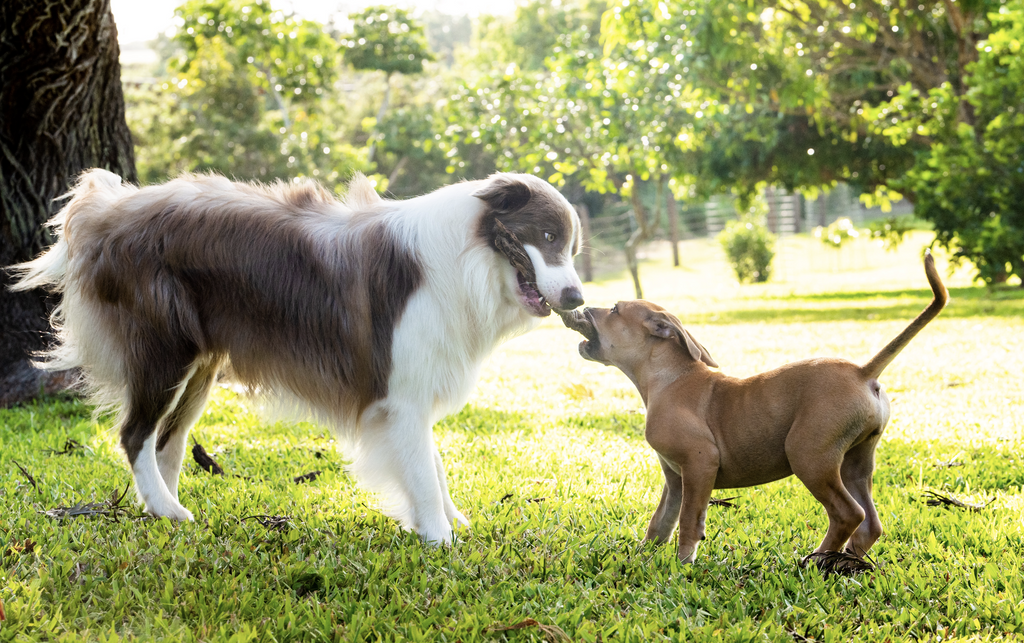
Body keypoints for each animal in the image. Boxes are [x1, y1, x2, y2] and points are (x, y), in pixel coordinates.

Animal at [12, 169, 585, 540]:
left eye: (573, 248)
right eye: (548, 235)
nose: (578, 299)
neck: (469, 255)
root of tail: (106, 211)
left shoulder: (410, 391)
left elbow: (434, 465)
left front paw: (448, 520)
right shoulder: (399, 395)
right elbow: (423, 471)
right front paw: (440, 539)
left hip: (199, 364)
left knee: (166, 441)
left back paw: (163, 510)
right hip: (164, 352)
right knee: (136, 434)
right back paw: (168, 511)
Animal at [565, 253, 946, 565]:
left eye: (615, 309)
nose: (580, 308)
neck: (669, 377)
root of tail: (862, 372)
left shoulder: (700, 463)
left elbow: (688, 520)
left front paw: (683, 564)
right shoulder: (675, 478)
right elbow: (661, 522)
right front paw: (643, 556)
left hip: (808, 456)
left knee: (848, 514)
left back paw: (818, 559)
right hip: (856, 462)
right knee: (870, 523)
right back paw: (845, 561)